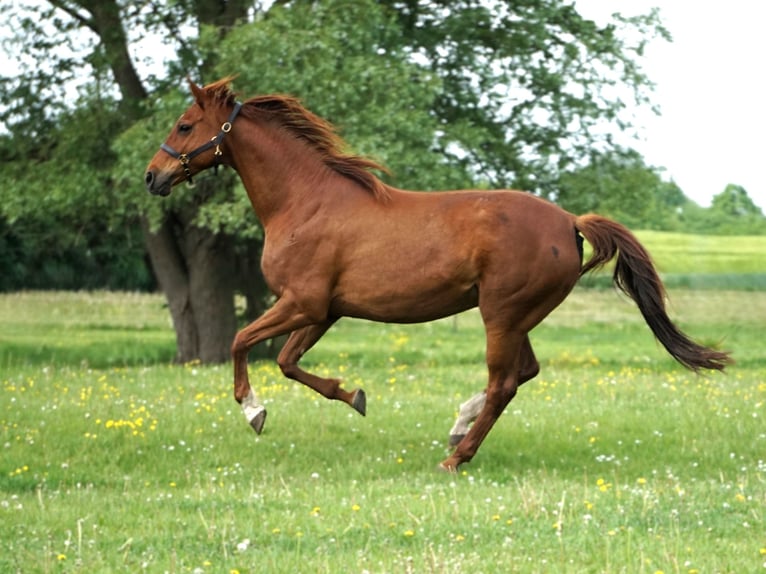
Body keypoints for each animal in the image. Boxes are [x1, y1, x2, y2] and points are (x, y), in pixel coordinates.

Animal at [142, 77, 732, 472]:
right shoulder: (323, 310)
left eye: (185, 125)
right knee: (522, 373)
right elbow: (288, 361)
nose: (153, 176)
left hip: (501, 313)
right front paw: (353, 395)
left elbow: (242, 340)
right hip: (517, 316)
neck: (305, 202)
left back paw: (458, 455)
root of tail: (569, 222)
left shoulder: (301, 302)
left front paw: (254, 411)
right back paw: (457, 427)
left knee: (504, 383)